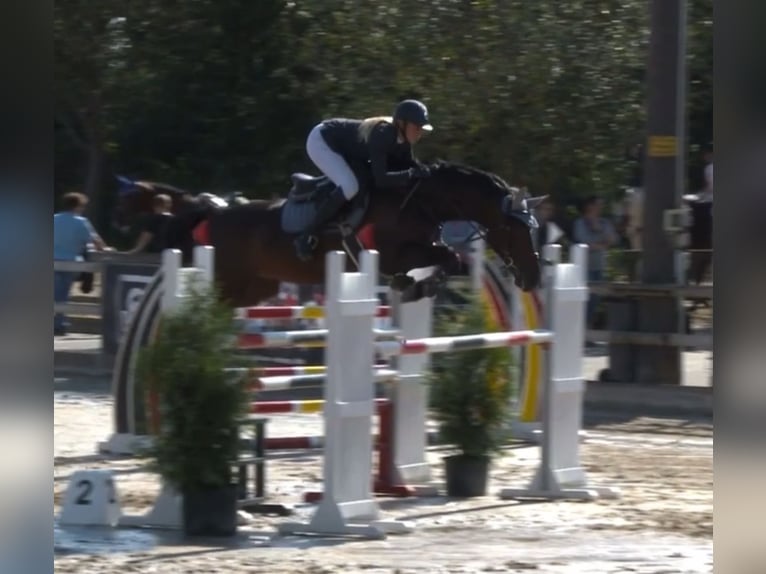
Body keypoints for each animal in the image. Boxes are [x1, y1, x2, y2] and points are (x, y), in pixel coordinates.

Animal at [112, 160, 544, 308]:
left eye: (535, 230)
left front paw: (420, 286)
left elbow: (447, 258)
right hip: (228, 280)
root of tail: (213, 212)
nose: (534, 277)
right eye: (516, 230)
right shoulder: (391, 254)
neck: (421, 200)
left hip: (256, 287)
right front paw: (412, 286)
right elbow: (447, 257)